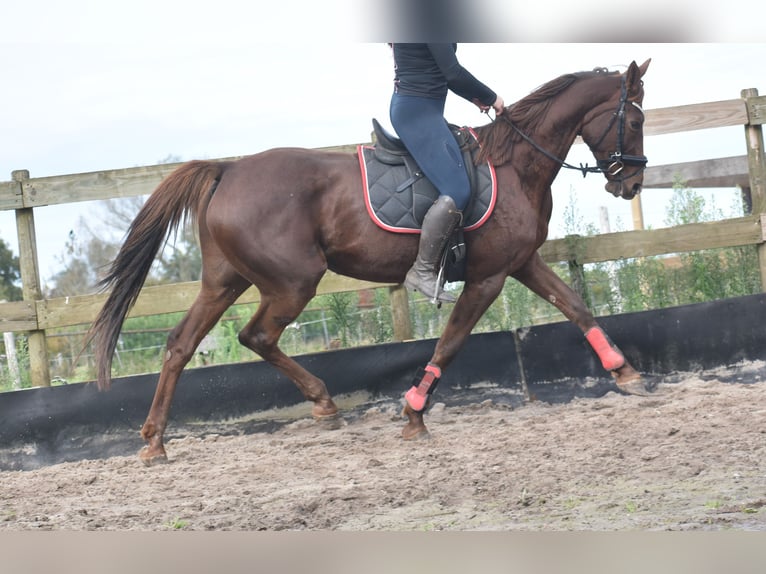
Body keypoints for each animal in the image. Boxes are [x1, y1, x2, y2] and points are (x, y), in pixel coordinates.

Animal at [88, 58, 656, 466]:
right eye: (633, 119)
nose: (630, 184)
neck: (515, 164)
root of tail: (228, 170)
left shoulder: (520, 263)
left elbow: (575, 306)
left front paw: (626, 373)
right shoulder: (488, 278)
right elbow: (451, 343)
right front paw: (413, 415)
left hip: (225, 282)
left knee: (182, 344)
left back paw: (156, 441)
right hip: (293, 282)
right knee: (257, 336)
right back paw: (322, 404)